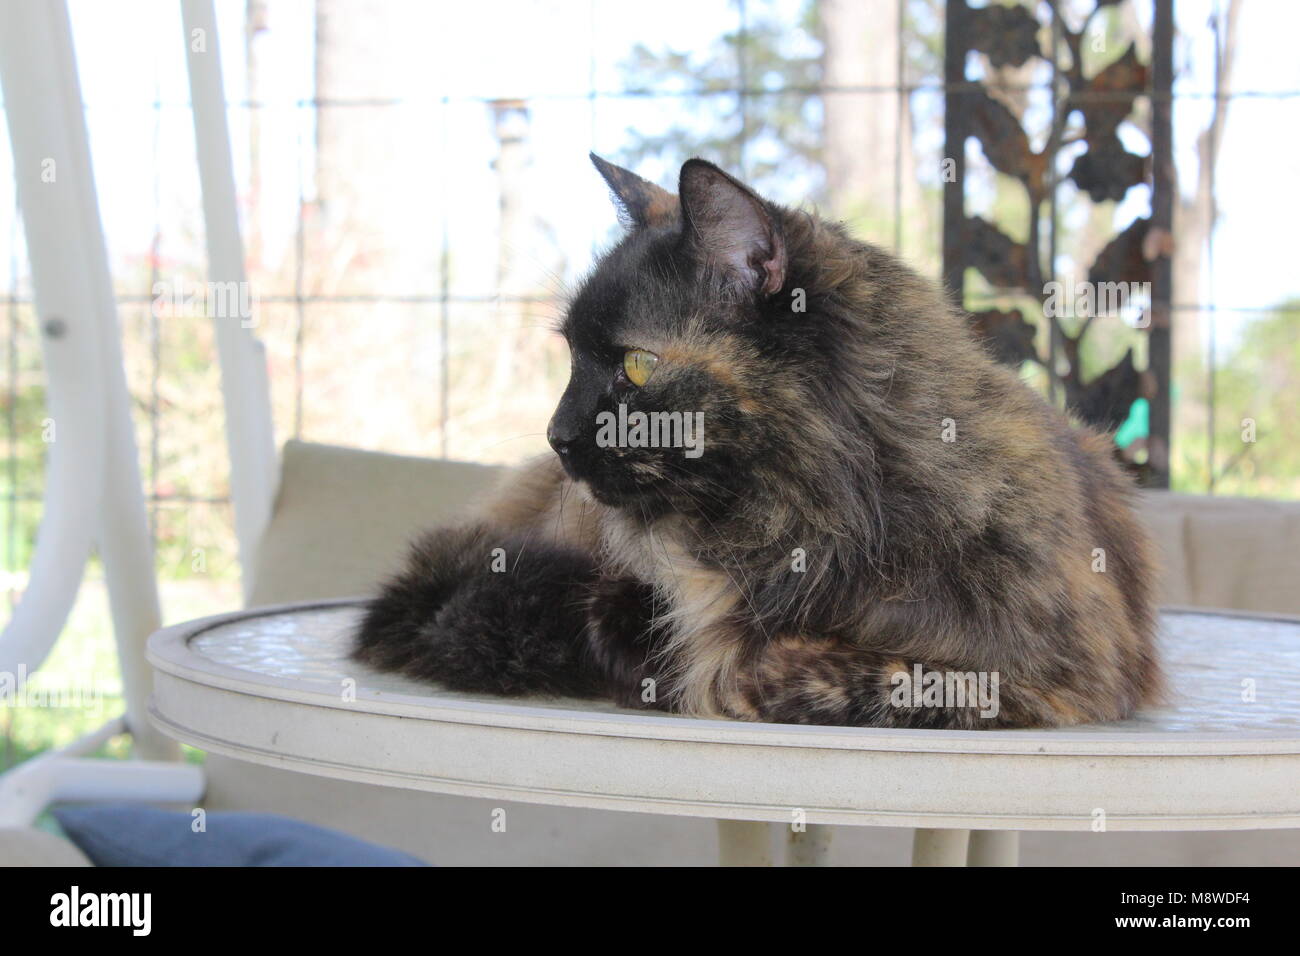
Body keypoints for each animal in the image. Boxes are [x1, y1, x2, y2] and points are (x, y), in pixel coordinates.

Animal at [351, 157, 1164, 728]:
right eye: (571, 356)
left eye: (635, 365)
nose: (559, 436)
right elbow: (638, 619)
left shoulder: (1060, 675)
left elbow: (822, 670)